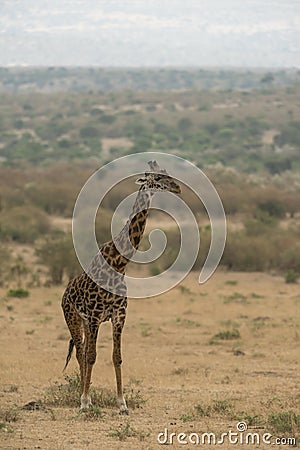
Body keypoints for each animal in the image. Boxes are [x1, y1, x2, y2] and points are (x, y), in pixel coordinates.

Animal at [61, 161, 180, 414]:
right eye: (156, 178)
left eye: (168, 174)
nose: (178, 188)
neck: (120, 263)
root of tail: (65, 293)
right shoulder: (96, 315)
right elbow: (92, 356)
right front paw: (85, 401)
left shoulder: (119, 315)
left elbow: (117, 357)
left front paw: (122, 404)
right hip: (73, 318)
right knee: (81, 352)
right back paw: (82, 398)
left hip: (85, 322)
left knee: (83, 351)